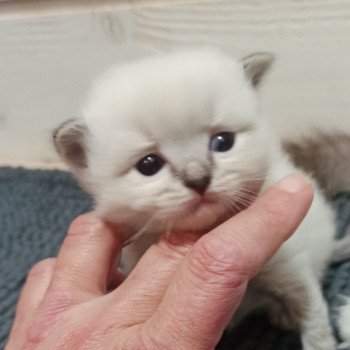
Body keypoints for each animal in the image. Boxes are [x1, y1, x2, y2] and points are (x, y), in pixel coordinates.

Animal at [53, 49, 348, 350]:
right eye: (149, 165)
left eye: (223, 141)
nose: (198, 179)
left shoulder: (289, 270)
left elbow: (314, 321)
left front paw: (320, 342)